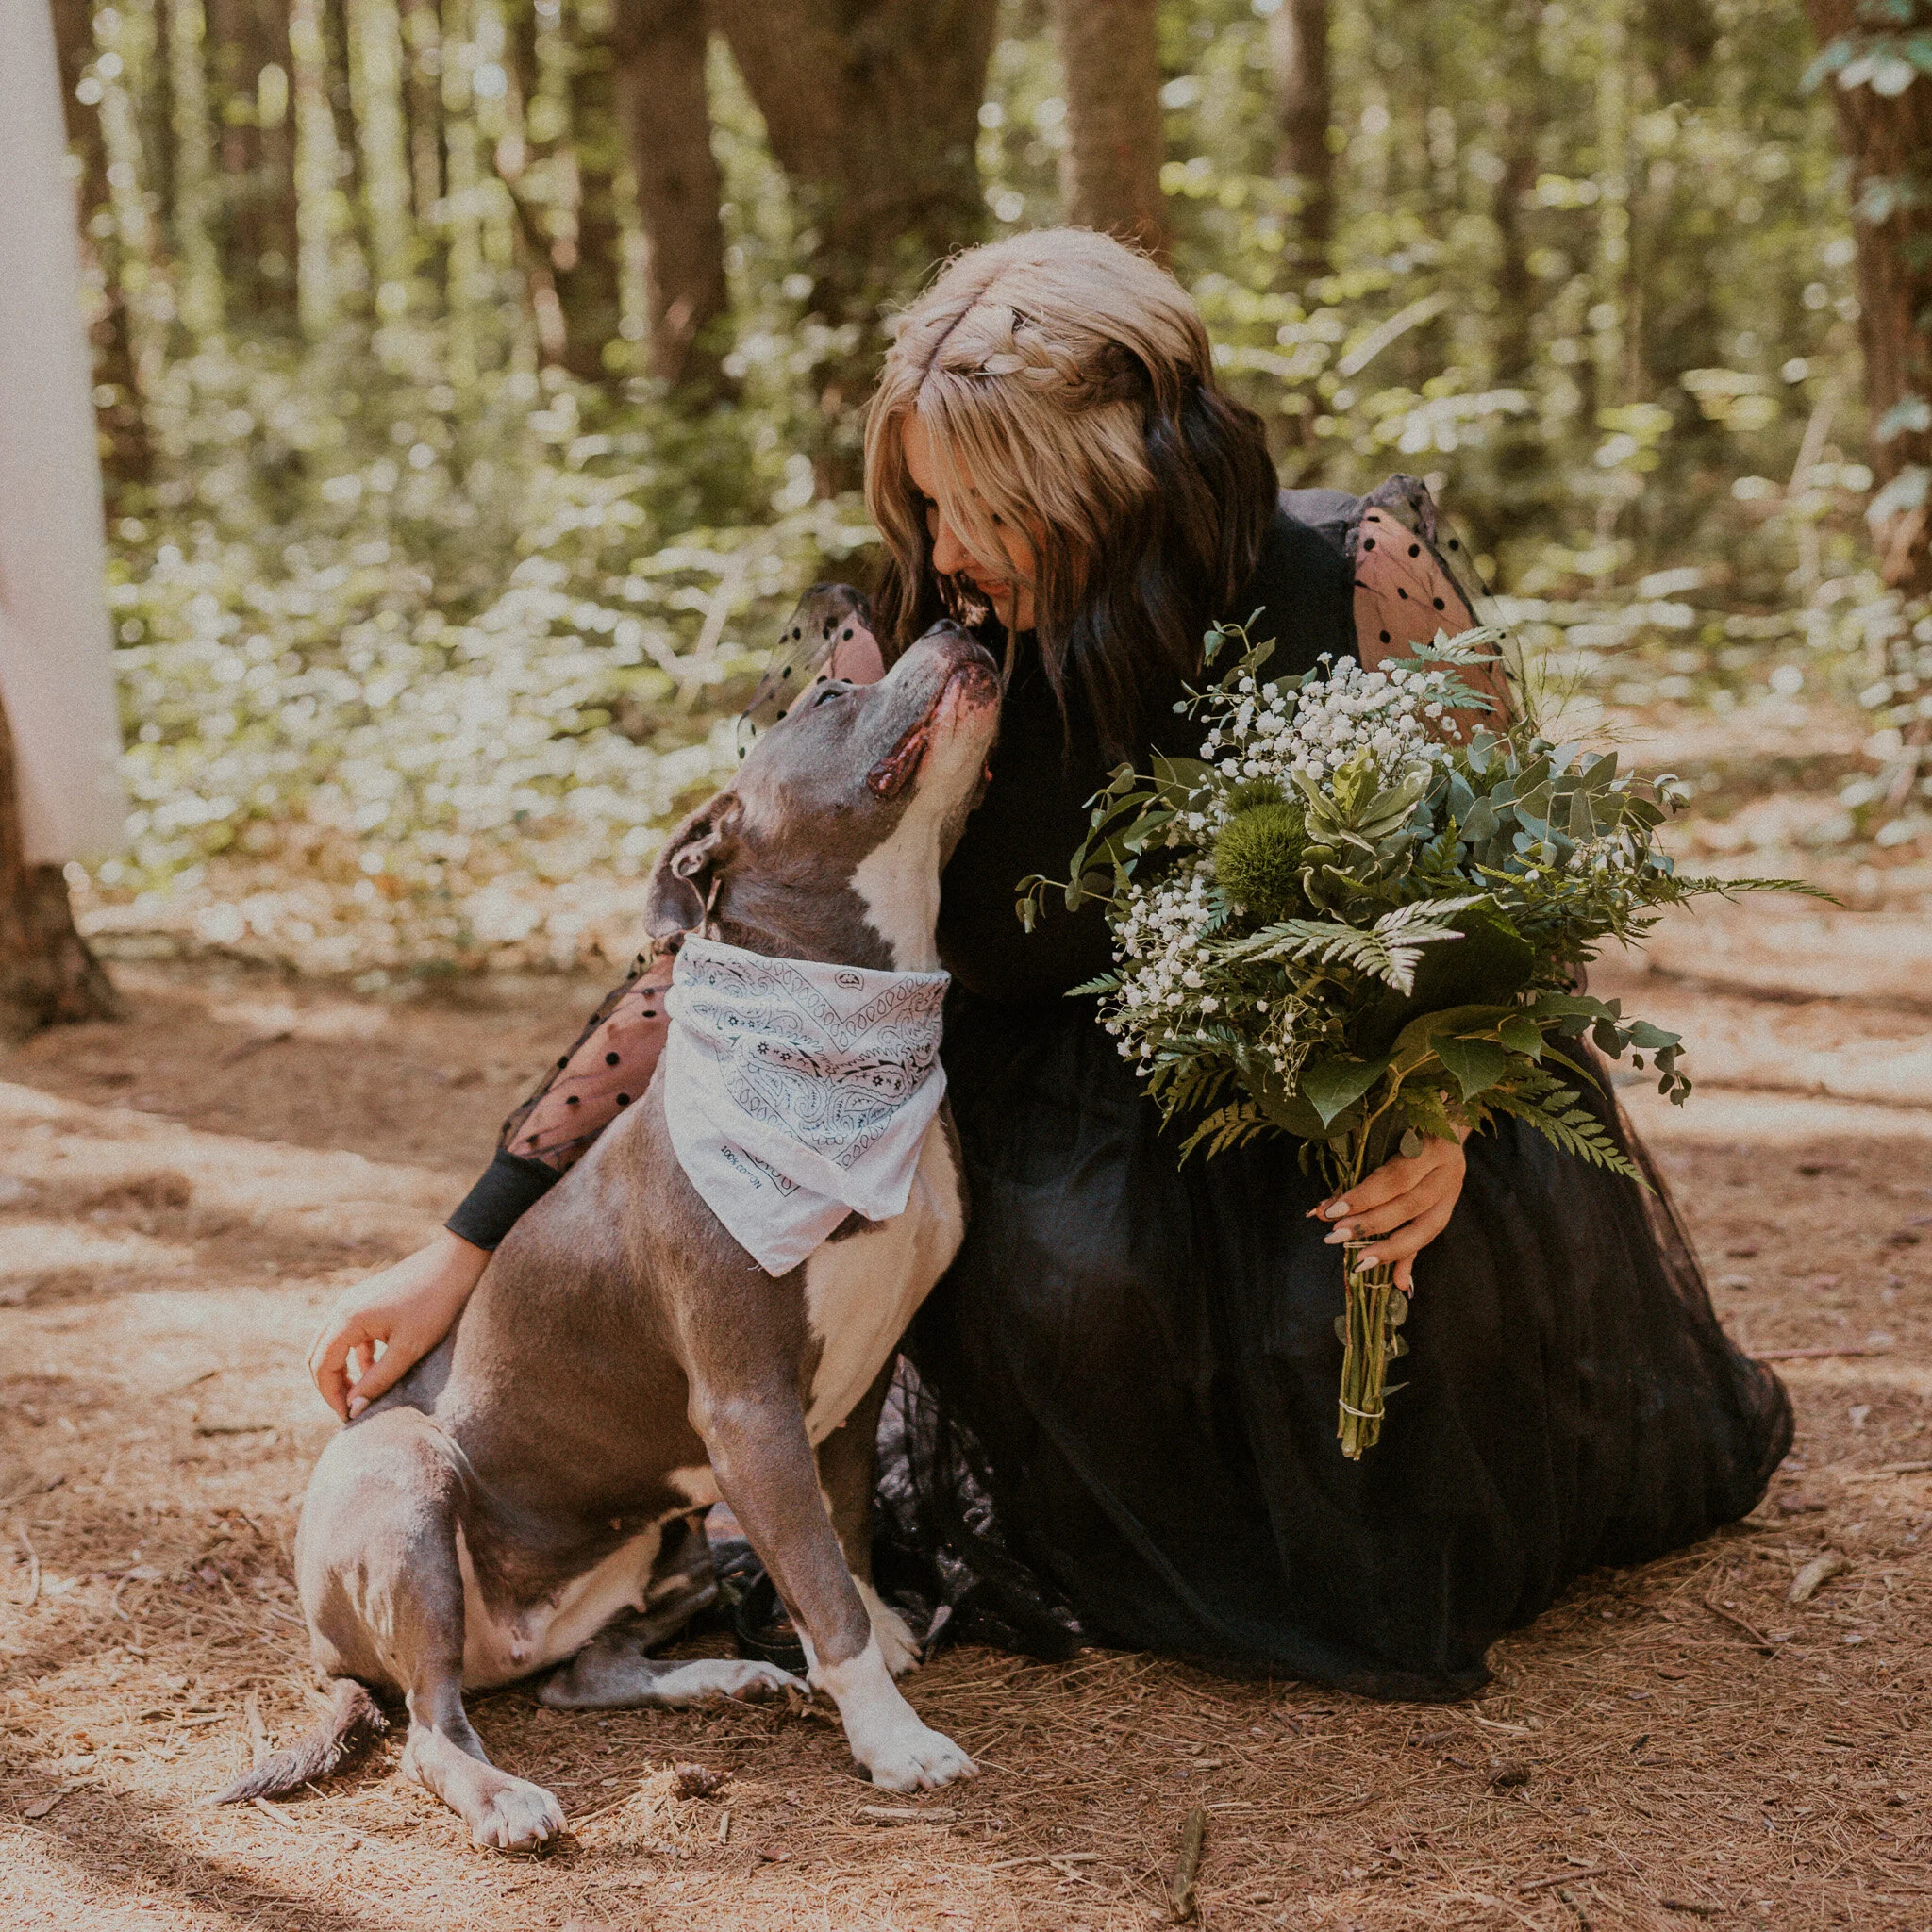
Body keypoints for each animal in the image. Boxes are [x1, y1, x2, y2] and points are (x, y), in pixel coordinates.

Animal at [222, 625, 1012, 1846]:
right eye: (829, 694)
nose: (958, 625)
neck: (843, 1031)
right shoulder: (748, 1411)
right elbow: (824, 1589)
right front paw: (892, 1737)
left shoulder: (852, 1388)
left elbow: (841, 1538)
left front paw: (881, 1640)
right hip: (410, 1490)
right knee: (432, 1730)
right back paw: (507, 1795)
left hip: (671, 1525)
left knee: (582, 1673)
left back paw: (725, 1677)